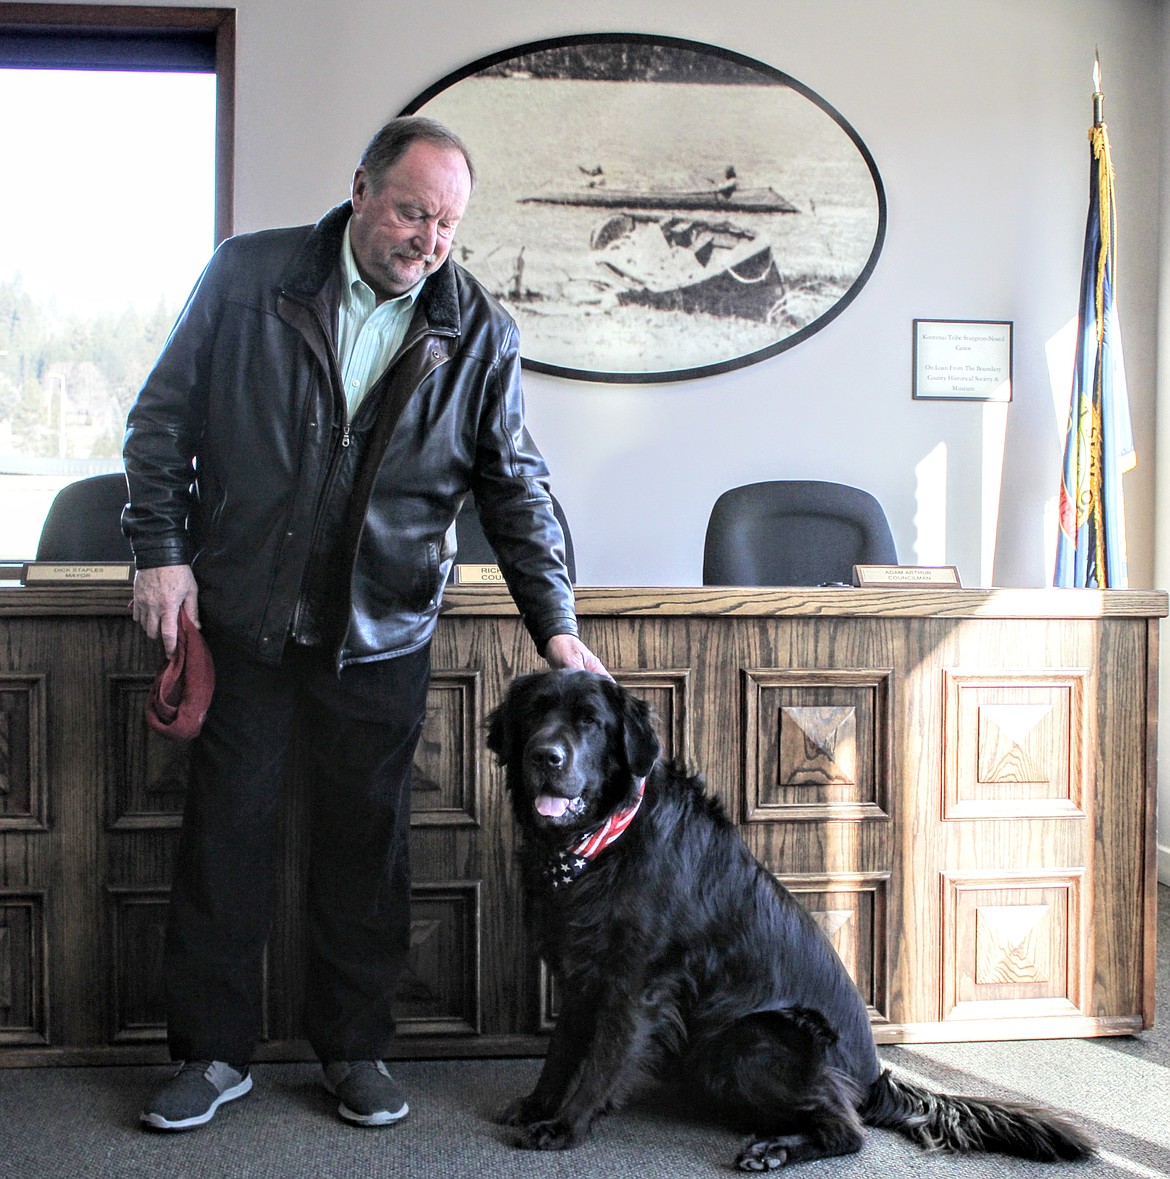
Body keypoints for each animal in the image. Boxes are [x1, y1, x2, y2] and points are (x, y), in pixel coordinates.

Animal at [485, 669, 1094, 1174]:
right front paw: (538, 1105)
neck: (603, 844)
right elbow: (562, 1051)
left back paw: (773, 1150)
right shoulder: (577, 971)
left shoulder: (637, 983)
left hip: (751, 1036)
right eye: (535, 713)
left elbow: (600, 1062)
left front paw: (564, 1126)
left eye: (590, 722)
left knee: (847, 1129)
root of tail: (873, 1080)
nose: (545, 756)